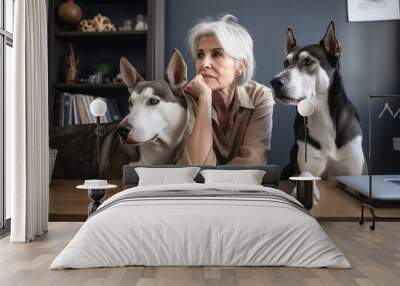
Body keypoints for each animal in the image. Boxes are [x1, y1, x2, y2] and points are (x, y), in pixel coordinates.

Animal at [272, 21, 366, 179]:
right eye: (286, 63)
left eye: (308, 61)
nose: (275, 82)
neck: (321, 114)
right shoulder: (307, 167)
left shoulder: (355, 169)